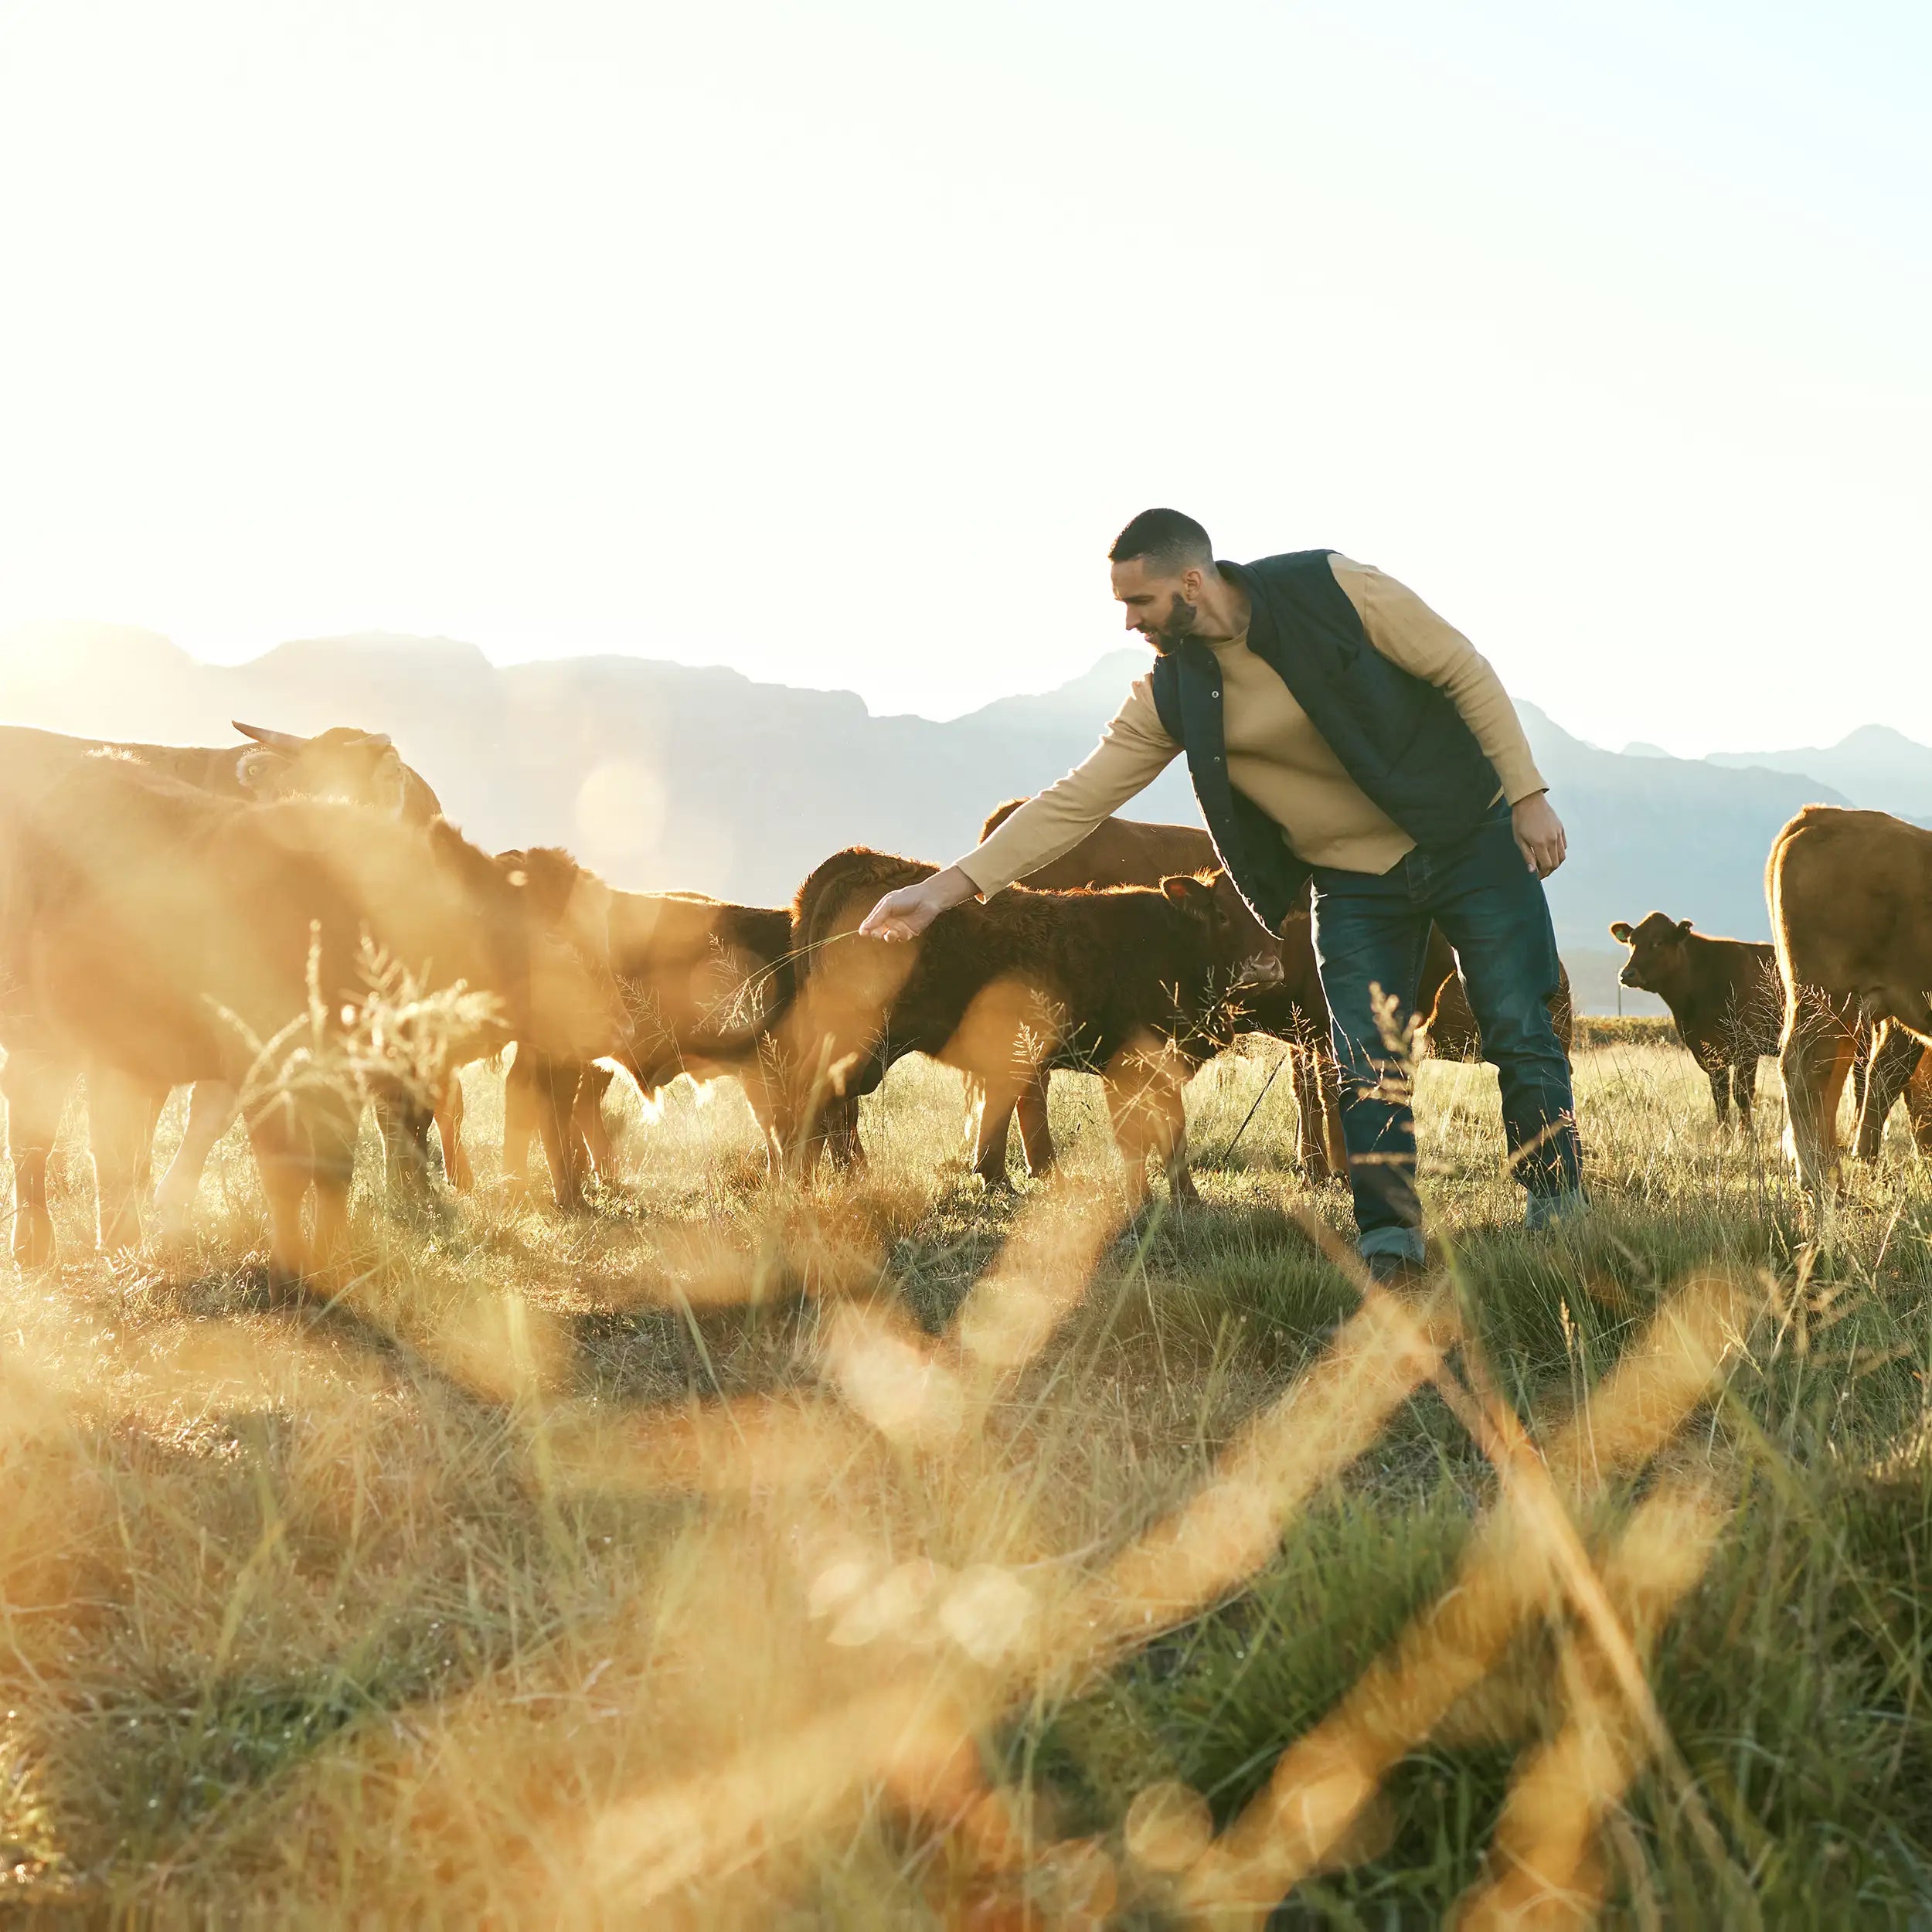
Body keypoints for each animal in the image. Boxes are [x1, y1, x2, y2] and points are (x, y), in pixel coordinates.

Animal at [0, 755, 627, 1281]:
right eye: (552, 943)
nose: (620, 1025)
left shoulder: (347, 1079)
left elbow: (333, 1168)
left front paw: (332, 1255)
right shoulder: (262, 1065)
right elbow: (283, 1169)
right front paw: (292, 1265)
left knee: (113, 1145)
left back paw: (124, 1243)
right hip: (37, 1033)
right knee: (36, 1138)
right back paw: (36, 1250)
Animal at [764, 847, 1280, 1207]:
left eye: (1268, 919)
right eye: (1222, 915)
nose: (1266, 965)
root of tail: (858, 860)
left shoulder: (1163, 1066)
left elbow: (1174, 1133)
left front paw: (1187, 1201)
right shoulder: (1127, 1065)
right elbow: (1136, 1138)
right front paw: (1142, 1202)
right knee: (813, 1104)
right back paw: (801, 1187)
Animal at [1607, 913, 1783, 1128]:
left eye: (1658, 942)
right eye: (1632, 942)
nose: (1627, 974)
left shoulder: (1748, 1047)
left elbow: (1742, 1095)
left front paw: (1748, 1135)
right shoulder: (1706, 1052)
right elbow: (1720, 1097)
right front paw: (1724, 1133)